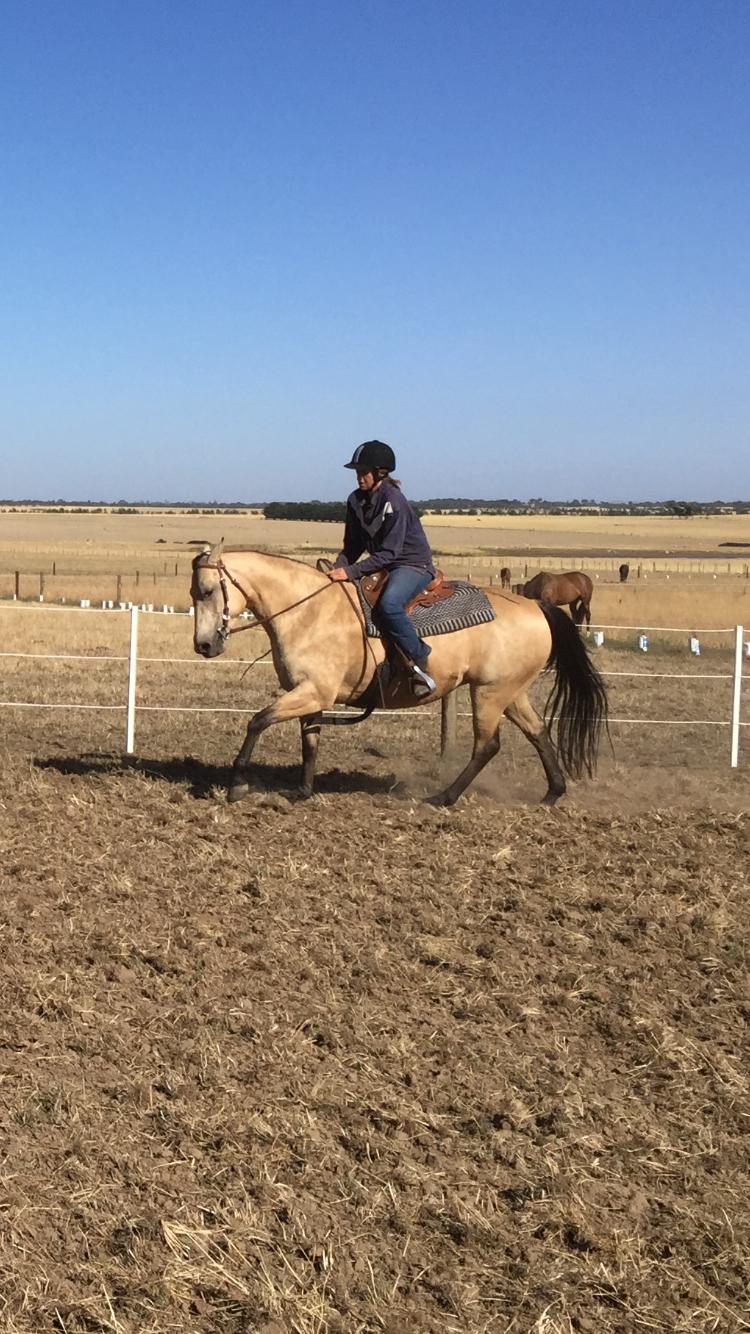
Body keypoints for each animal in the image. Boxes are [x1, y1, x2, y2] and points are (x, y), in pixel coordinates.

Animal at [191, 542, 608, 808]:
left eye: (208, 590)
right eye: (194, 593)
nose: (204, 646)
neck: (309, 611)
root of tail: (535, 606)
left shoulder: (313, 693)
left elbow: (257, 722)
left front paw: (237, 786)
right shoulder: (309, 694)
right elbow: (310, 743)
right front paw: (302, 792)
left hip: (490, 693)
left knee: (487, 746)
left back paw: (442, 798)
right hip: (510, 691)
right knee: (538, 732)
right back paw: (552, 793)